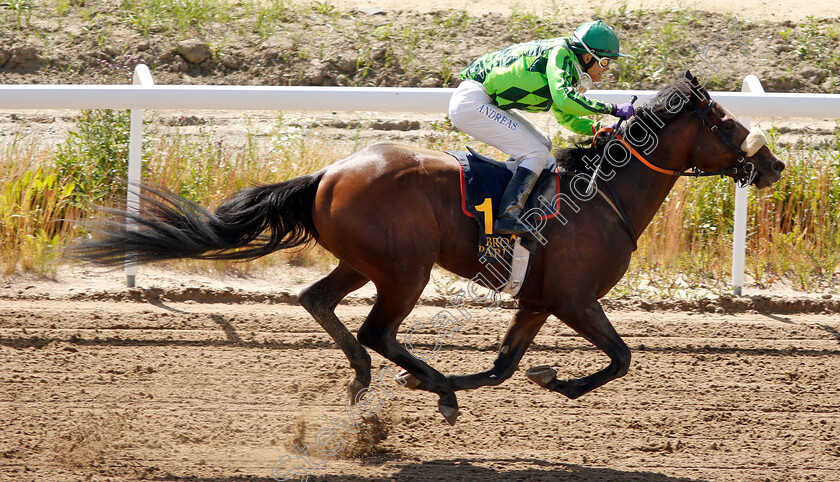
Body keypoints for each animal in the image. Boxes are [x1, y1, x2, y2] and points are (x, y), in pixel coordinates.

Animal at [70, 71, 780, 426]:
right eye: (725, 122)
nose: (771, 165)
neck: (602, 193)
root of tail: (329, 172)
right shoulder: (574, 298)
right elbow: (621, 358)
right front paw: (555, 382)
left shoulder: (538, 300)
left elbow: (505, 366)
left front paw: (526, 375)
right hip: (405, 271)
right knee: (377, 330)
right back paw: (424, 385)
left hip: (365, 263)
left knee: (318, 301)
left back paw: (367, 381)